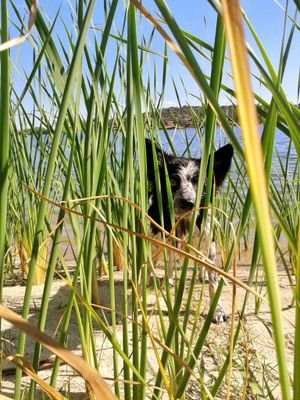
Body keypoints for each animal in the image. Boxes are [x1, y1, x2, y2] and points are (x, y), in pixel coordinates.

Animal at [146, 138, 233, 322]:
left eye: (198, 183)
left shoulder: (208, 243)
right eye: (172, 181)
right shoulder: (158, 241)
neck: (184, 222)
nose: (189, 203)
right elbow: (151, 267)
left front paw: (217, 310)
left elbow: (213, 282)